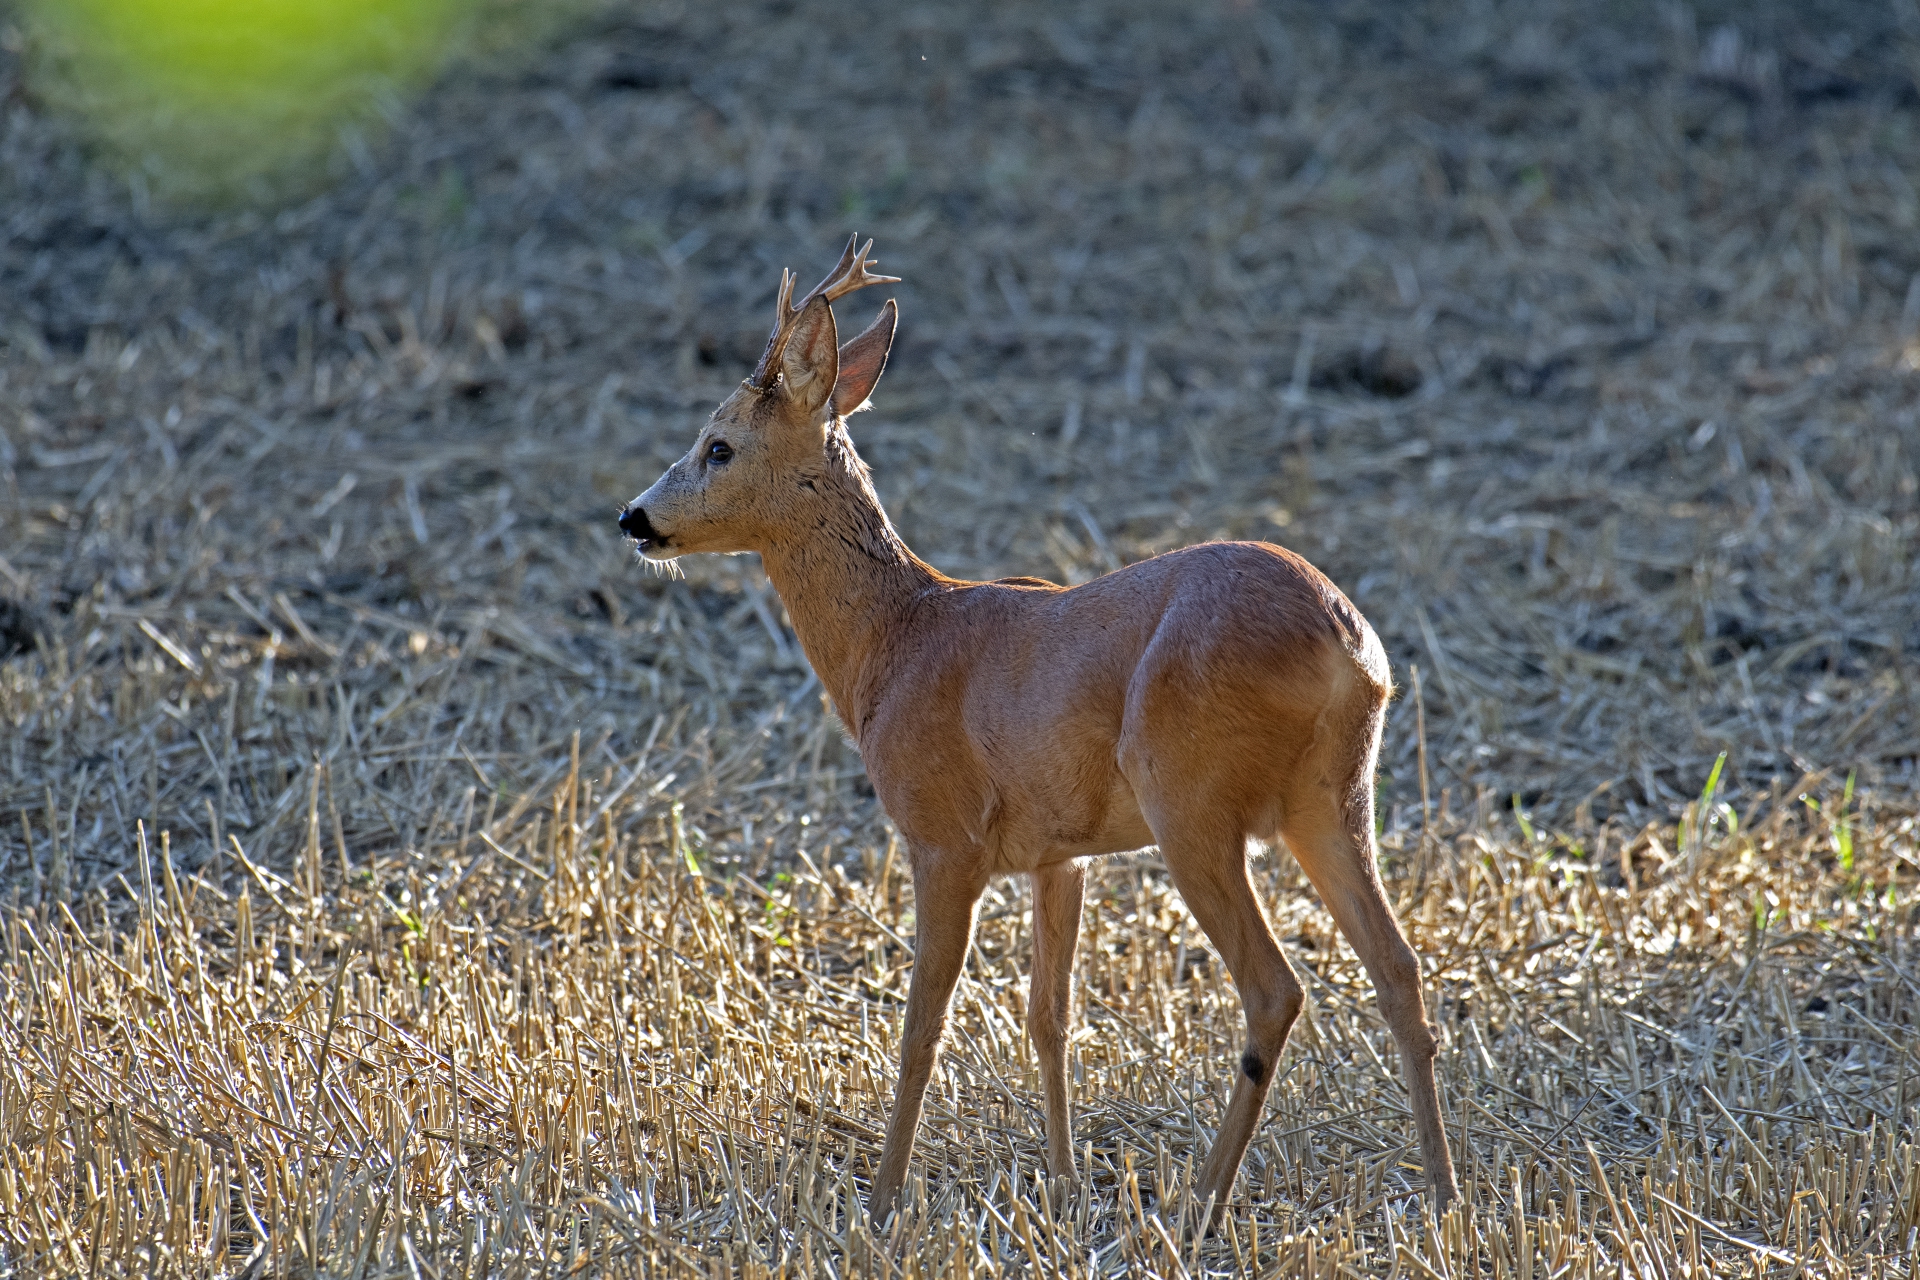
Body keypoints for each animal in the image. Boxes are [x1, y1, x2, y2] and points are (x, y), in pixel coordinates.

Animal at [622, 237, 1459, 1220]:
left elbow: (923, 1023)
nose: (634, 518)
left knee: (1275, 989)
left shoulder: (943, 836)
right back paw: (1445, 1191)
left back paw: (1200, 1203)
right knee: (1399, 967)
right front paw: (1060, 1181)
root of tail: (1348, 647)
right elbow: (1048, 1015)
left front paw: (883, 1199)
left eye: (717, 445)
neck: (895, 642)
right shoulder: (1060, 854)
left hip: (1191, 797)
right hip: (1332, 797)